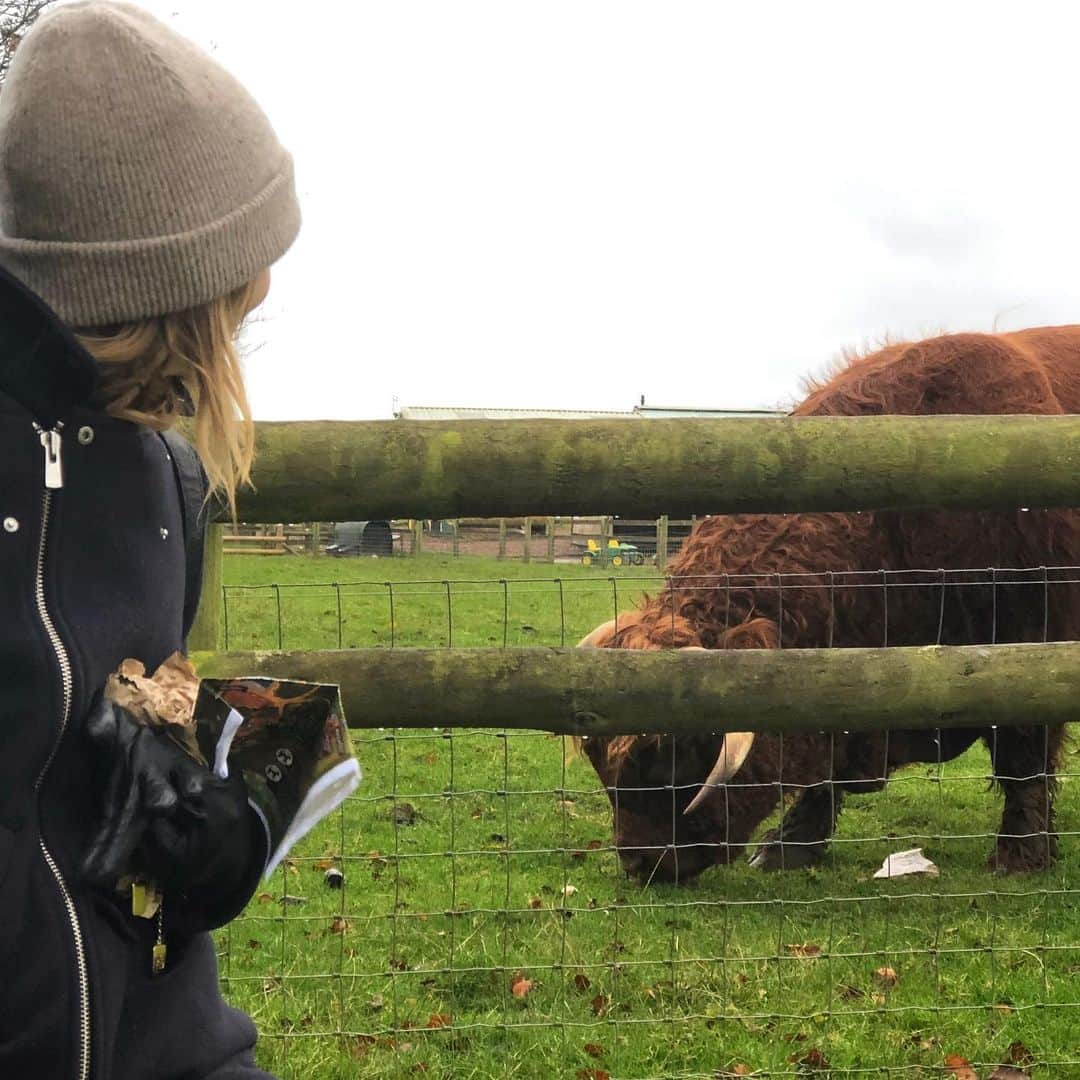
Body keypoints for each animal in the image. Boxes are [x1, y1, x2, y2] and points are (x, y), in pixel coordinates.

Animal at [583, 324, 1080, 881]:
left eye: (673, 755)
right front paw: (790, 845)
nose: (639, 860)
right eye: (601, 760)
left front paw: (1021, 853)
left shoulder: (1030, 646)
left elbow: (1024, 760)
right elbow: (827, 768)